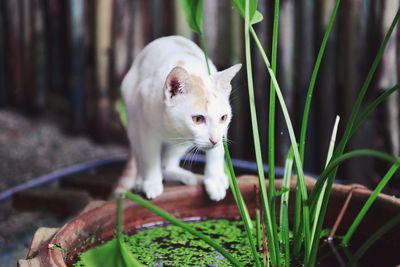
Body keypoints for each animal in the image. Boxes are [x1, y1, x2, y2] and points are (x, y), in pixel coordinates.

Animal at [114, 36, 242, 202]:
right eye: (198, 119)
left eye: (223, 117)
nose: (214, 140)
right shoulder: (145, 125)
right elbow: (149, 157)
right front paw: (151, 182)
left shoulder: (223, 130)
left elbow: (217, 152)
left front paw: (214, 179)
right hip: (133, 122)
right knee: (142, 156)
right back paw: (141, 181)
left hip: (182, 143)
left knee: (166, 165)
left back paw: (190, 177)